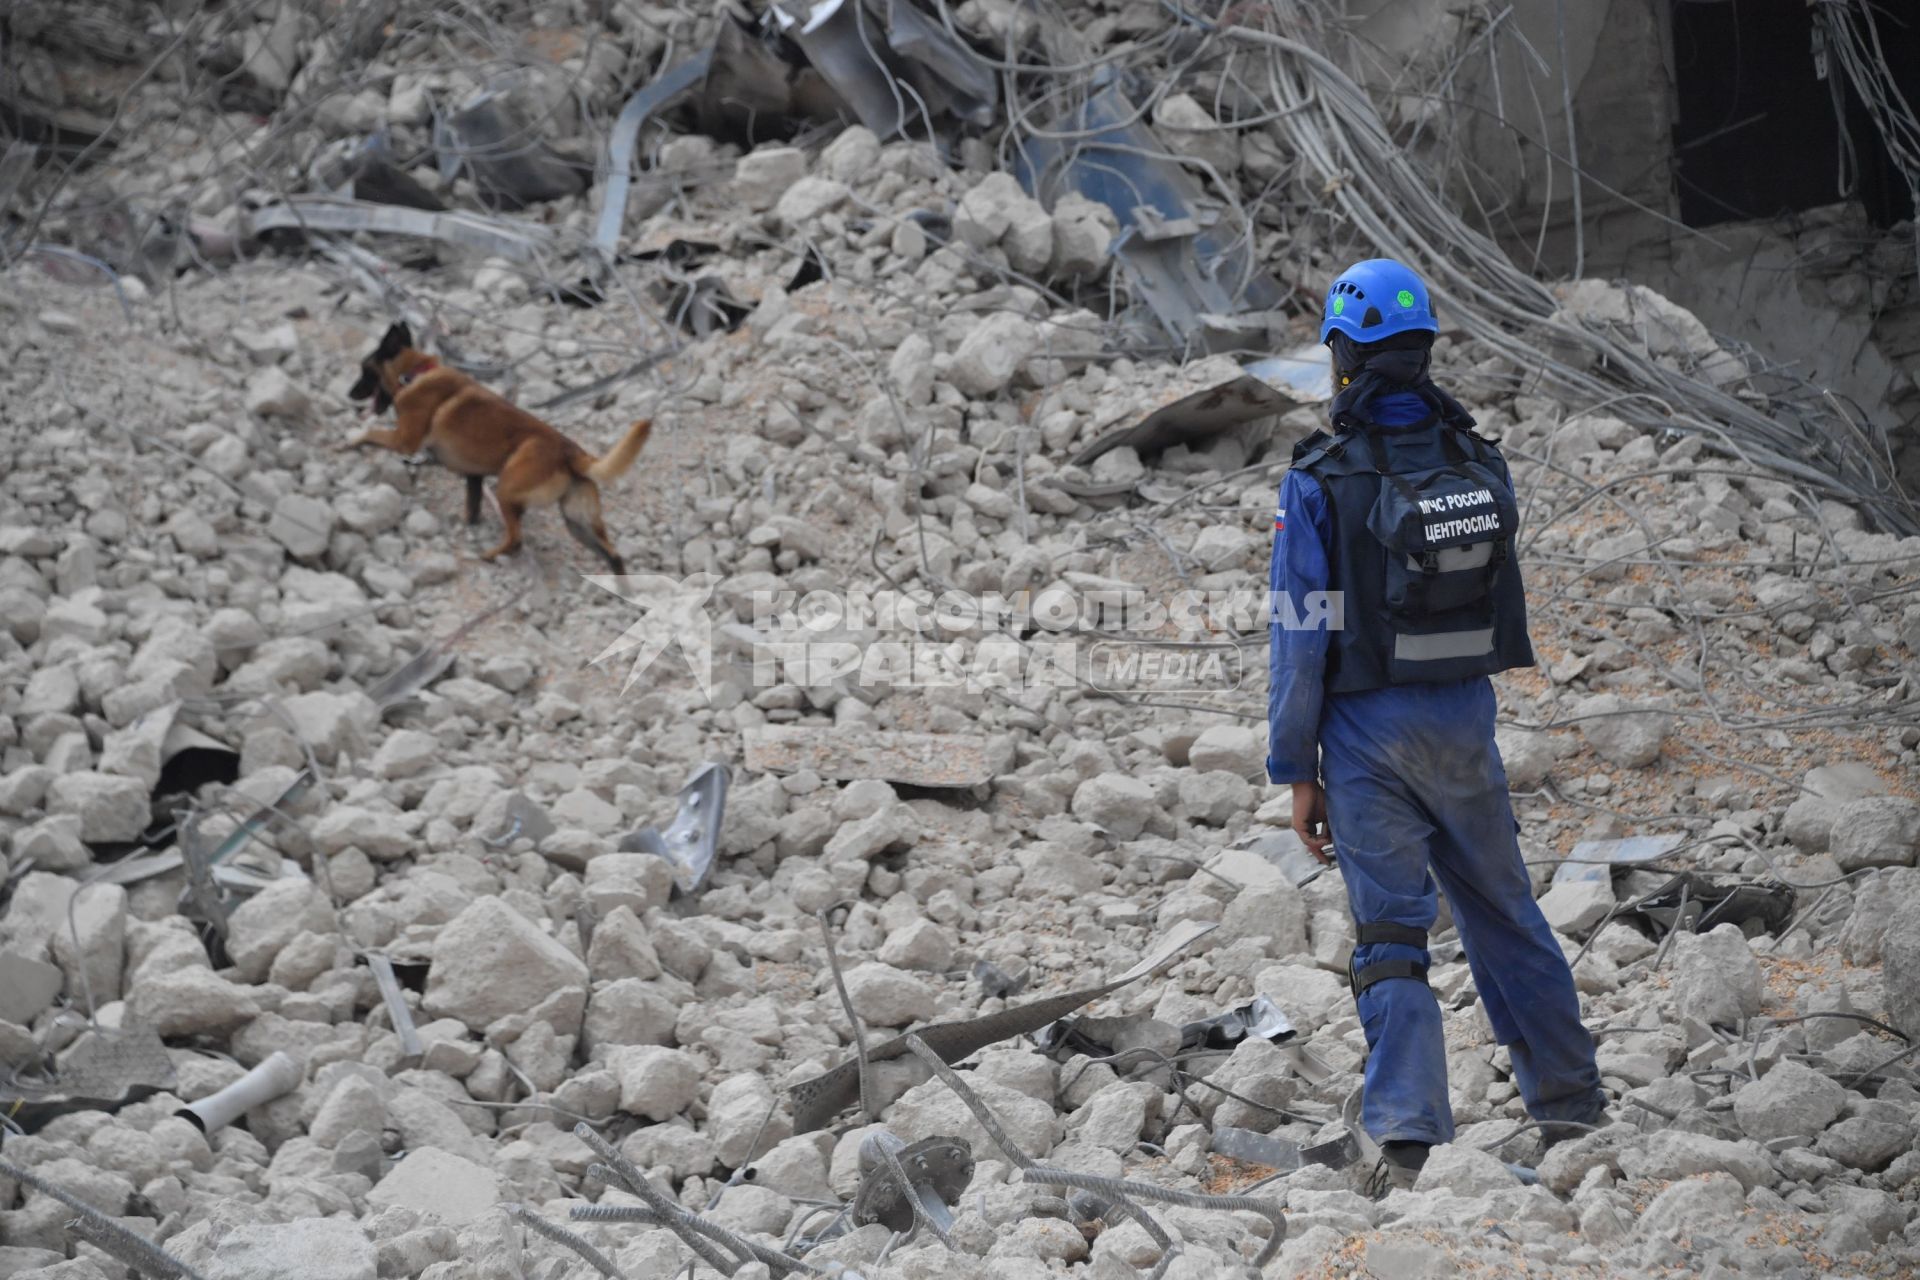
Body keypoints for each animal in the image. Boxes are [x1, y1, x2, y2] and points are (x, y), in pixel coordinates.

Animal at [341, 322, 648, 571]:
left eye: (364, 371)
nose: (349, 394)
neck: (414, 374)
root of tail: (572, 452)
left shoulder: (404, 440)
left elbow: (370, 432)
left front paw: (347, 443)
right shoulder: (472, 477)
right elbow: (472, 508)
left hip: (508, 491)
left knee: (516, 539)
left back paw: (491, 555)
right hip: (579, 524)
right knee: (614, 556)